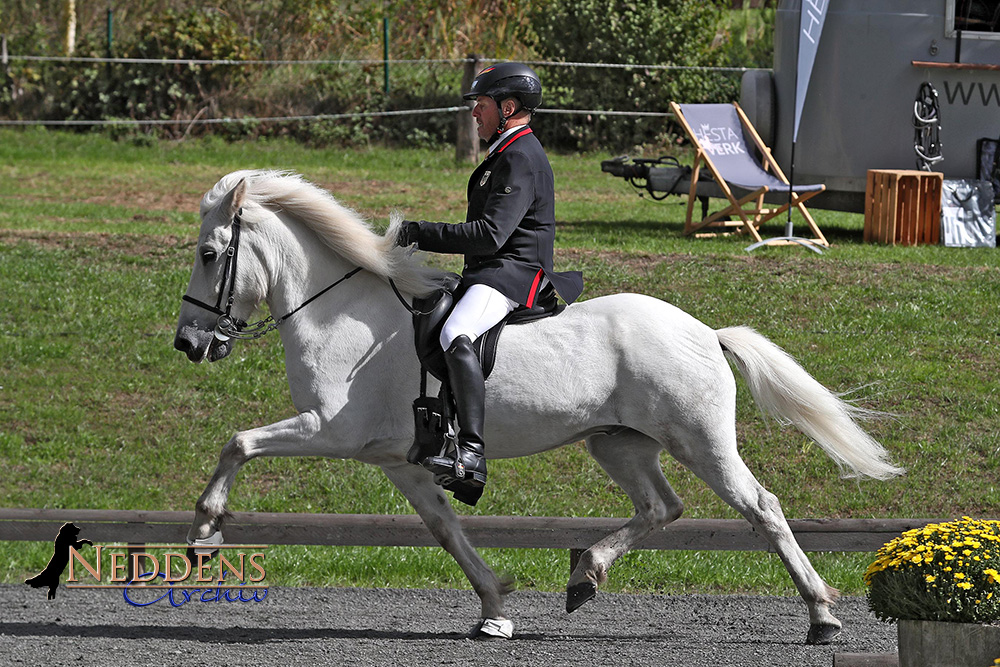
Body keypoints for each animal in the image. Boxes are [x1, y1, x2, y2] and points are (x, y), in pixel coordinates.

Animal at [176, 170, 904, 644]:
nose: (188, 343)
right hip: (617, 441)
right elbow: (445, 527)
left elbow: (238, 441)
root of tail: (704, 330)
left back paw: (822, 616)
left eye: (211, 254)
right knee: (660, 508)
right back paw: (586, 574)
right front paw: (494, 604)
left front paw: (205, 534)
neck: (339, 312)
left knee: (762, 508)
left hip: (700, 441)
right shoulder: (398, 459)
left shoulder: (330, 429)